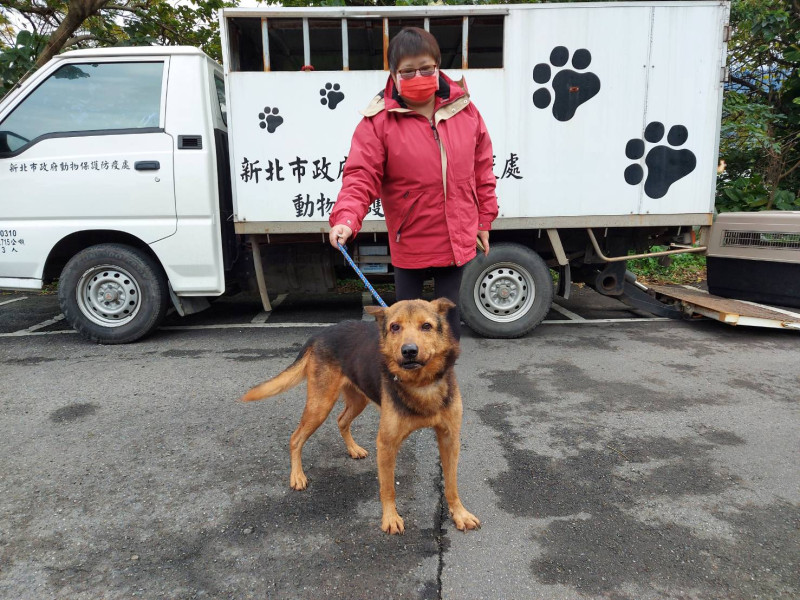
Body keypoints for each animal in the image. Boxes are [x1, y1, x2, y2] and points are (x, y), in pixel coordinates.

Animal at [234, 298, 478, 536]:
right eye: (395, 327)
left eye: (426, 326)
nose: (409, 351)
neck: (421, 384)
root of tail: (320, 334)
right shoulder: (387, 444)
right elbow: (388, 488)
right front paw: (390, 518)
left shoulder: (449, 438)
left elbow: (451, 484)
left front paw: (459, 513)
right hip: (320, 405)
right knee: (296, 438)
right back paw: (297, 476)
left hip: (358, 399)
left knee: (341, 420)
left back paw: (353, 449)